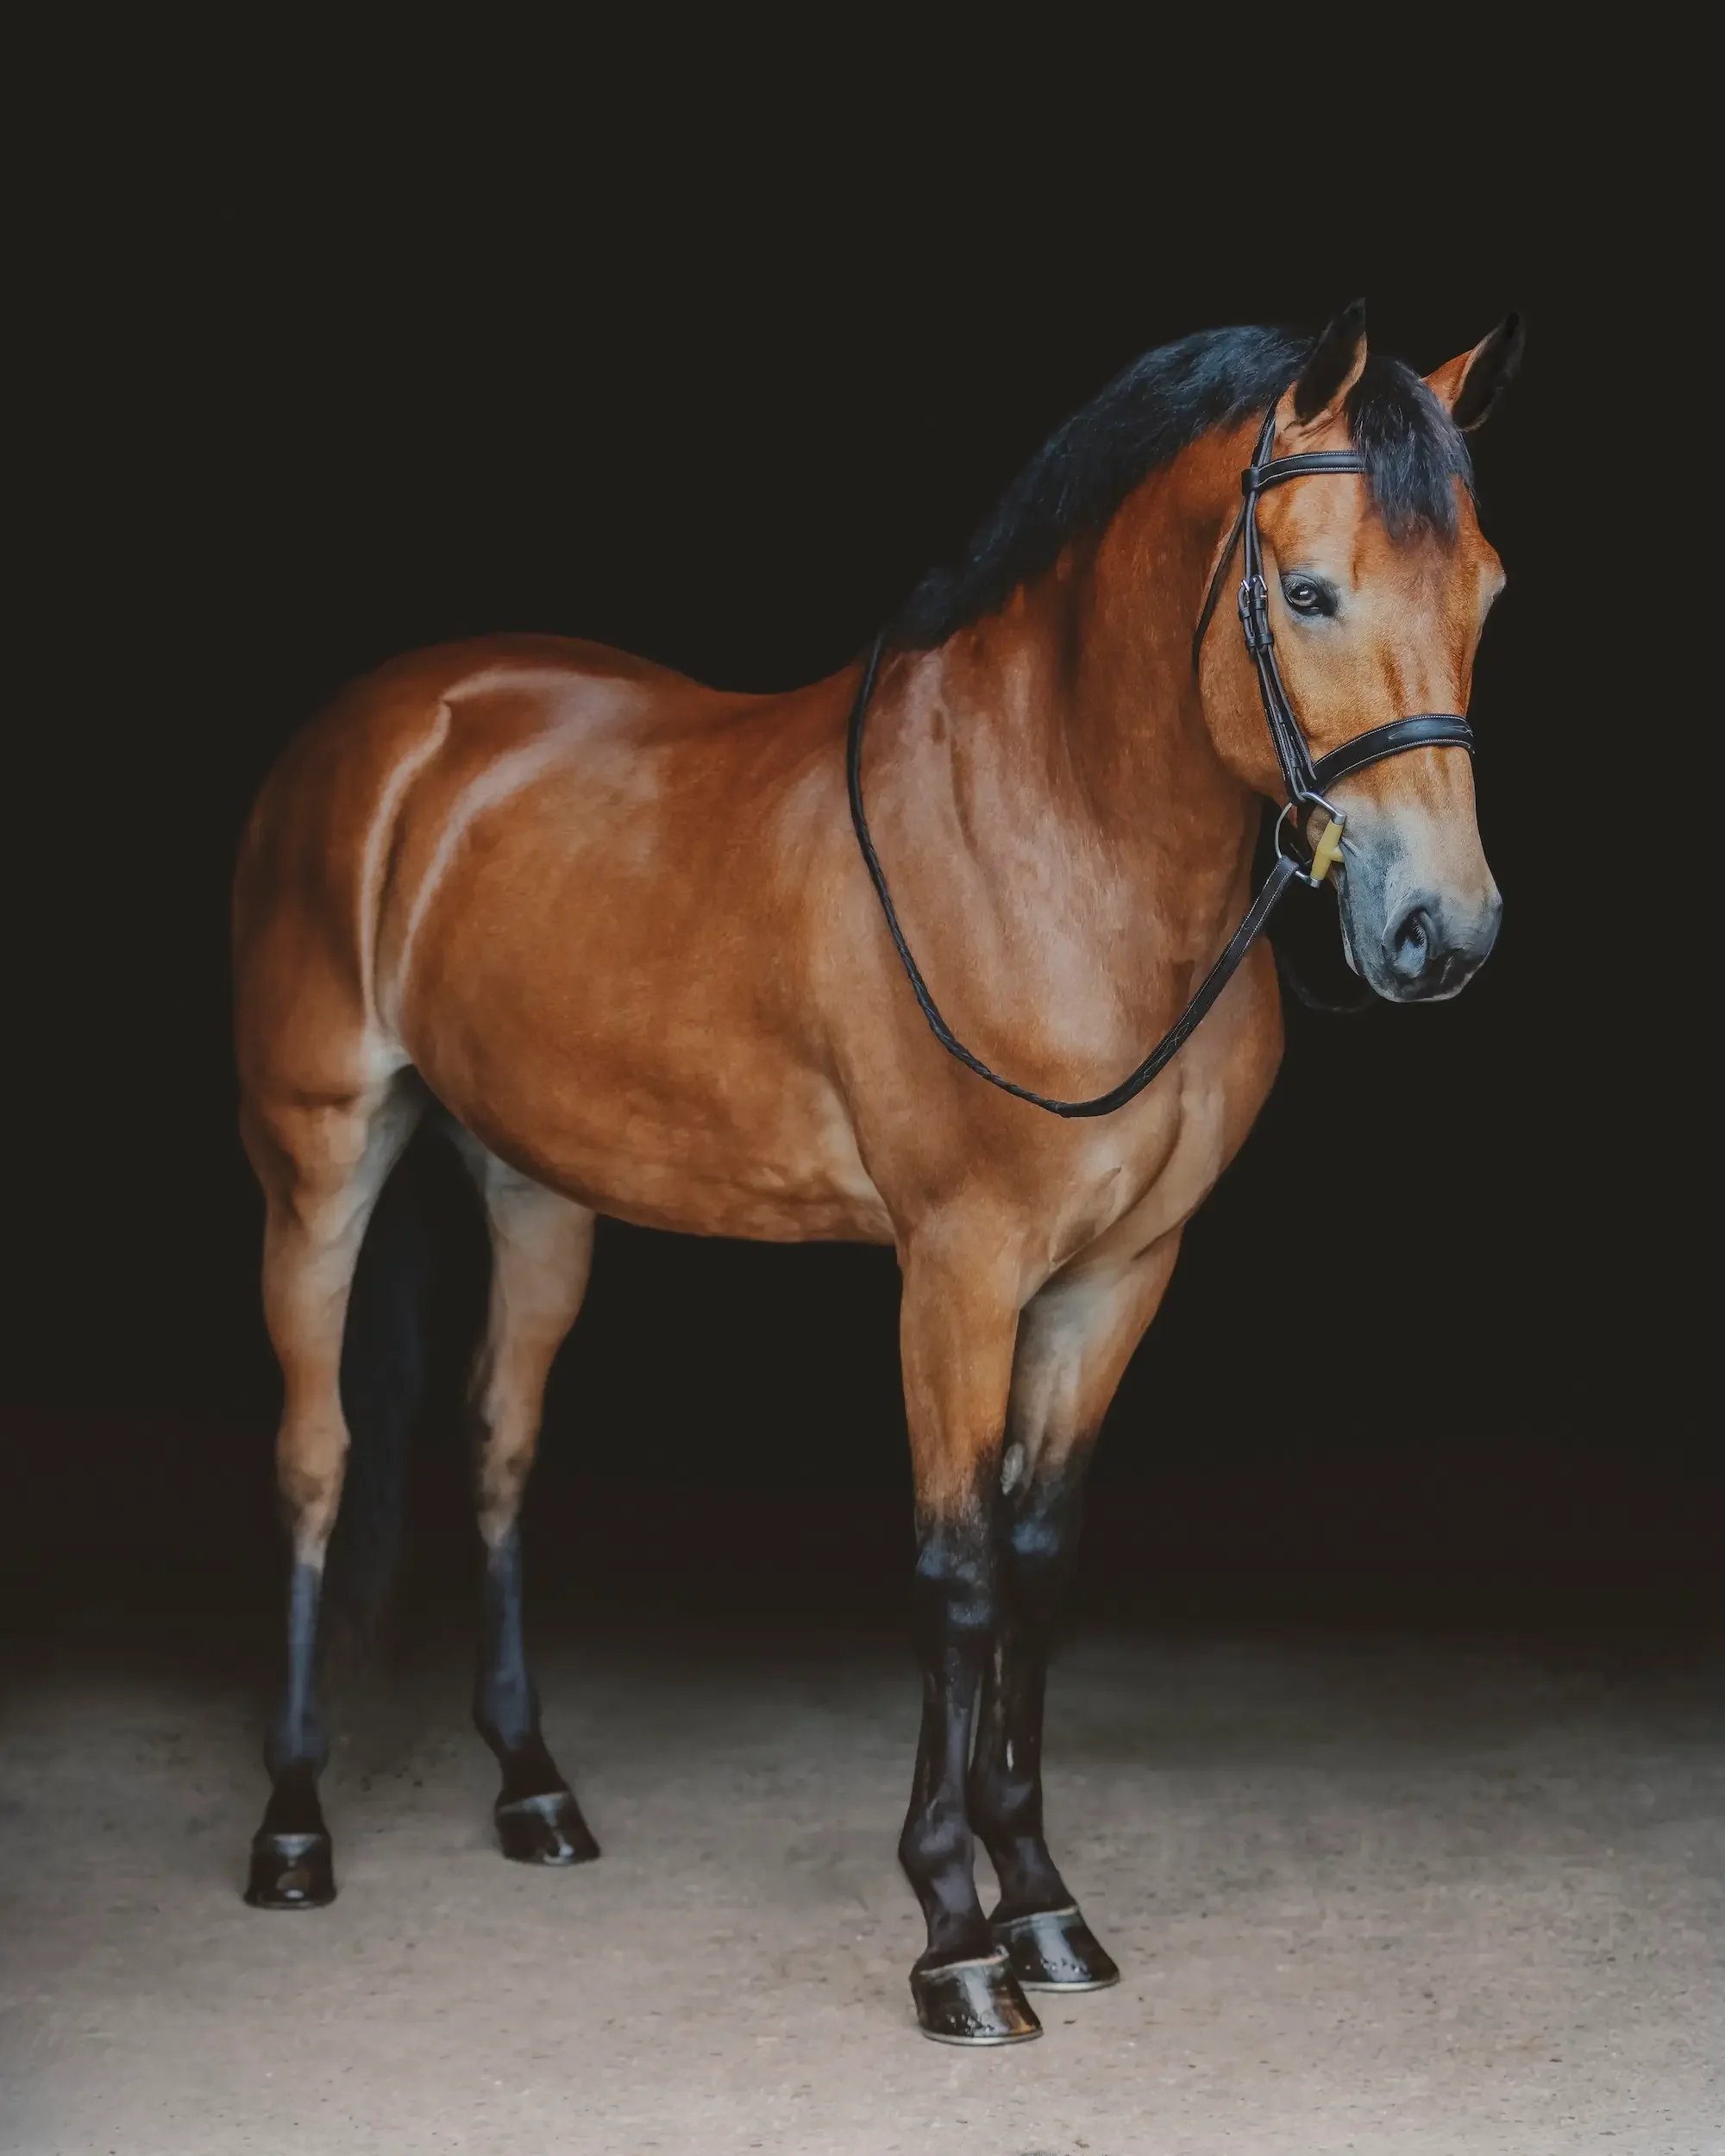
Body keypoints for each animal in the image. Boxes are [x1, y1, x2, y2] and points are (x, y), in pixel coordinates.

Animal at [232, 299, 1521, 2043]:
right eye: (1310, 591)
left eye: (1486, 590)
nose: (1441, 932)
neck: (1060, 839)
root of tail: (390, 721)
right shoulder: (957, 1273)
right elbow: (955, 1571)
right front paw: (957, 1940)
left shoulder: (1119, 1277)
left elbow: (1037, 1565)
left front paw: (1043, 1902)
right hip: (317, 1163)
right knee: (316, 1458)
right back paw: (296, 1828)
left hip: (535, 1188)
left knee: (502, 1446)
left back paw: (533, 1791)